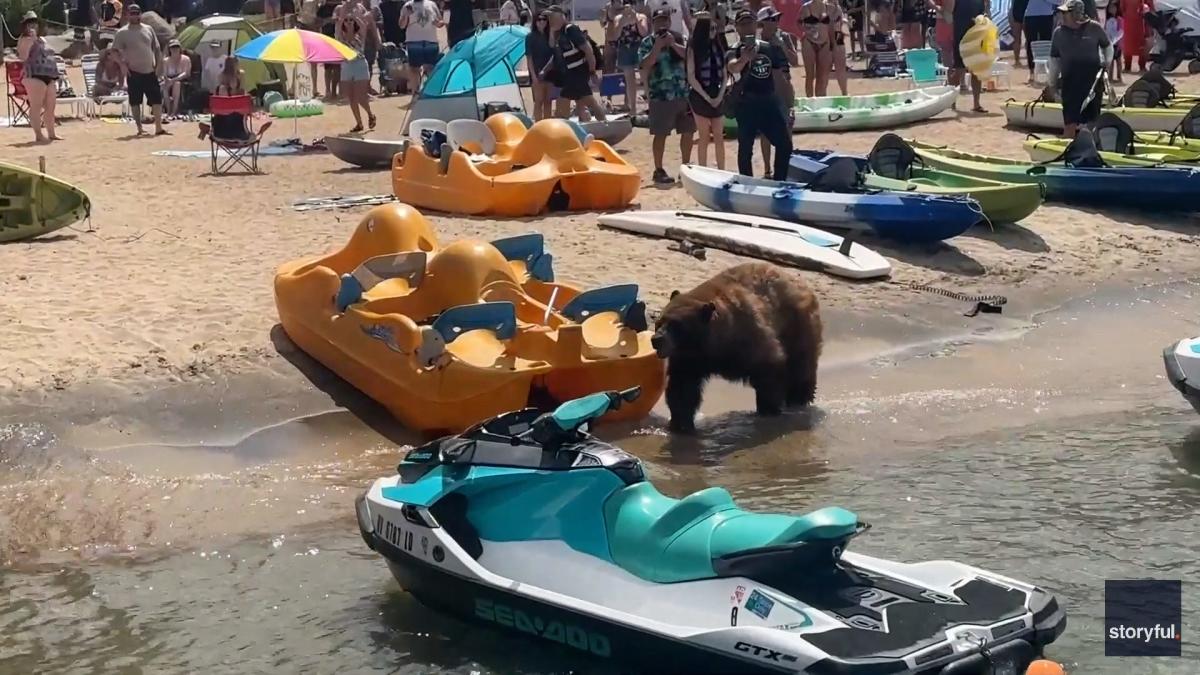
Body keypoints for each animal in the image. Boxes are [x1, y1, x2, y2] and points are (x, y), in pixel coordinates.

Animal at [648, 260, 825, 432]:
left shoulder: (748, 337)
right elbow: (683, 387)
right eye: (659, 322)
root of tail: (803, 285)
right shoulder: (689, 359)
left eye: (676, 326)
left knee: (801, 366)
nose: (656, 339)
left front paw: (768, 409)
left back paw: (799, 400)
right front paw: (681, 424)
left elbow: (769, 366)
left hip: (798, 326)